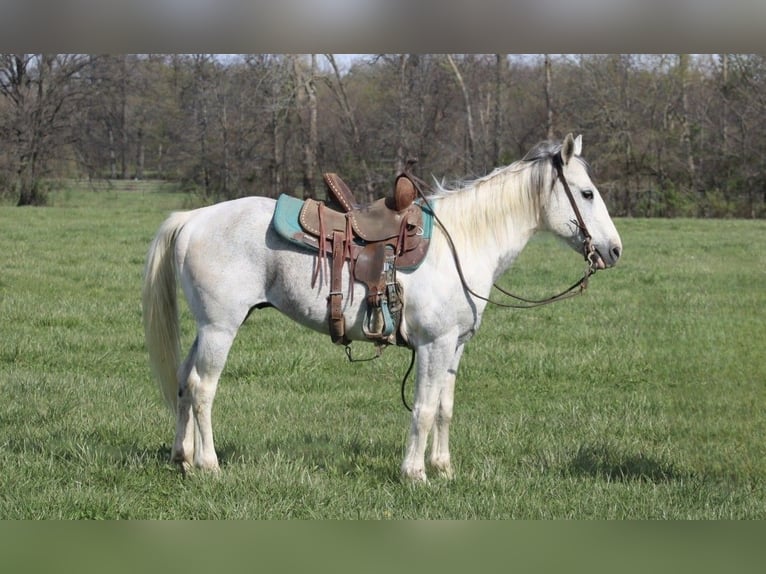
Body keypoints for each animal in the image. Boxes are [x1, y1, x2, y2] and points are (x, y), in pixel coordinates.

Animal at [142, 133, 622, 482]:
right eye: (587, 193)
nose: (614, 250)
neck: (462, 243)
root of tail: (193, 218)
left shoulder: (455, 346)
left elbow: (444, 407)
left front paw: (444, 469)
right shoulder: (433, 345)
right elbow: (424, 409)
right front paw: (415, 474)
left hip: (207, 328)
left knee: (183, 381)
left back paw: (182, 458)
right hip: (221, 328)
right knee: (203, 387)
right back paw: (209, 465)